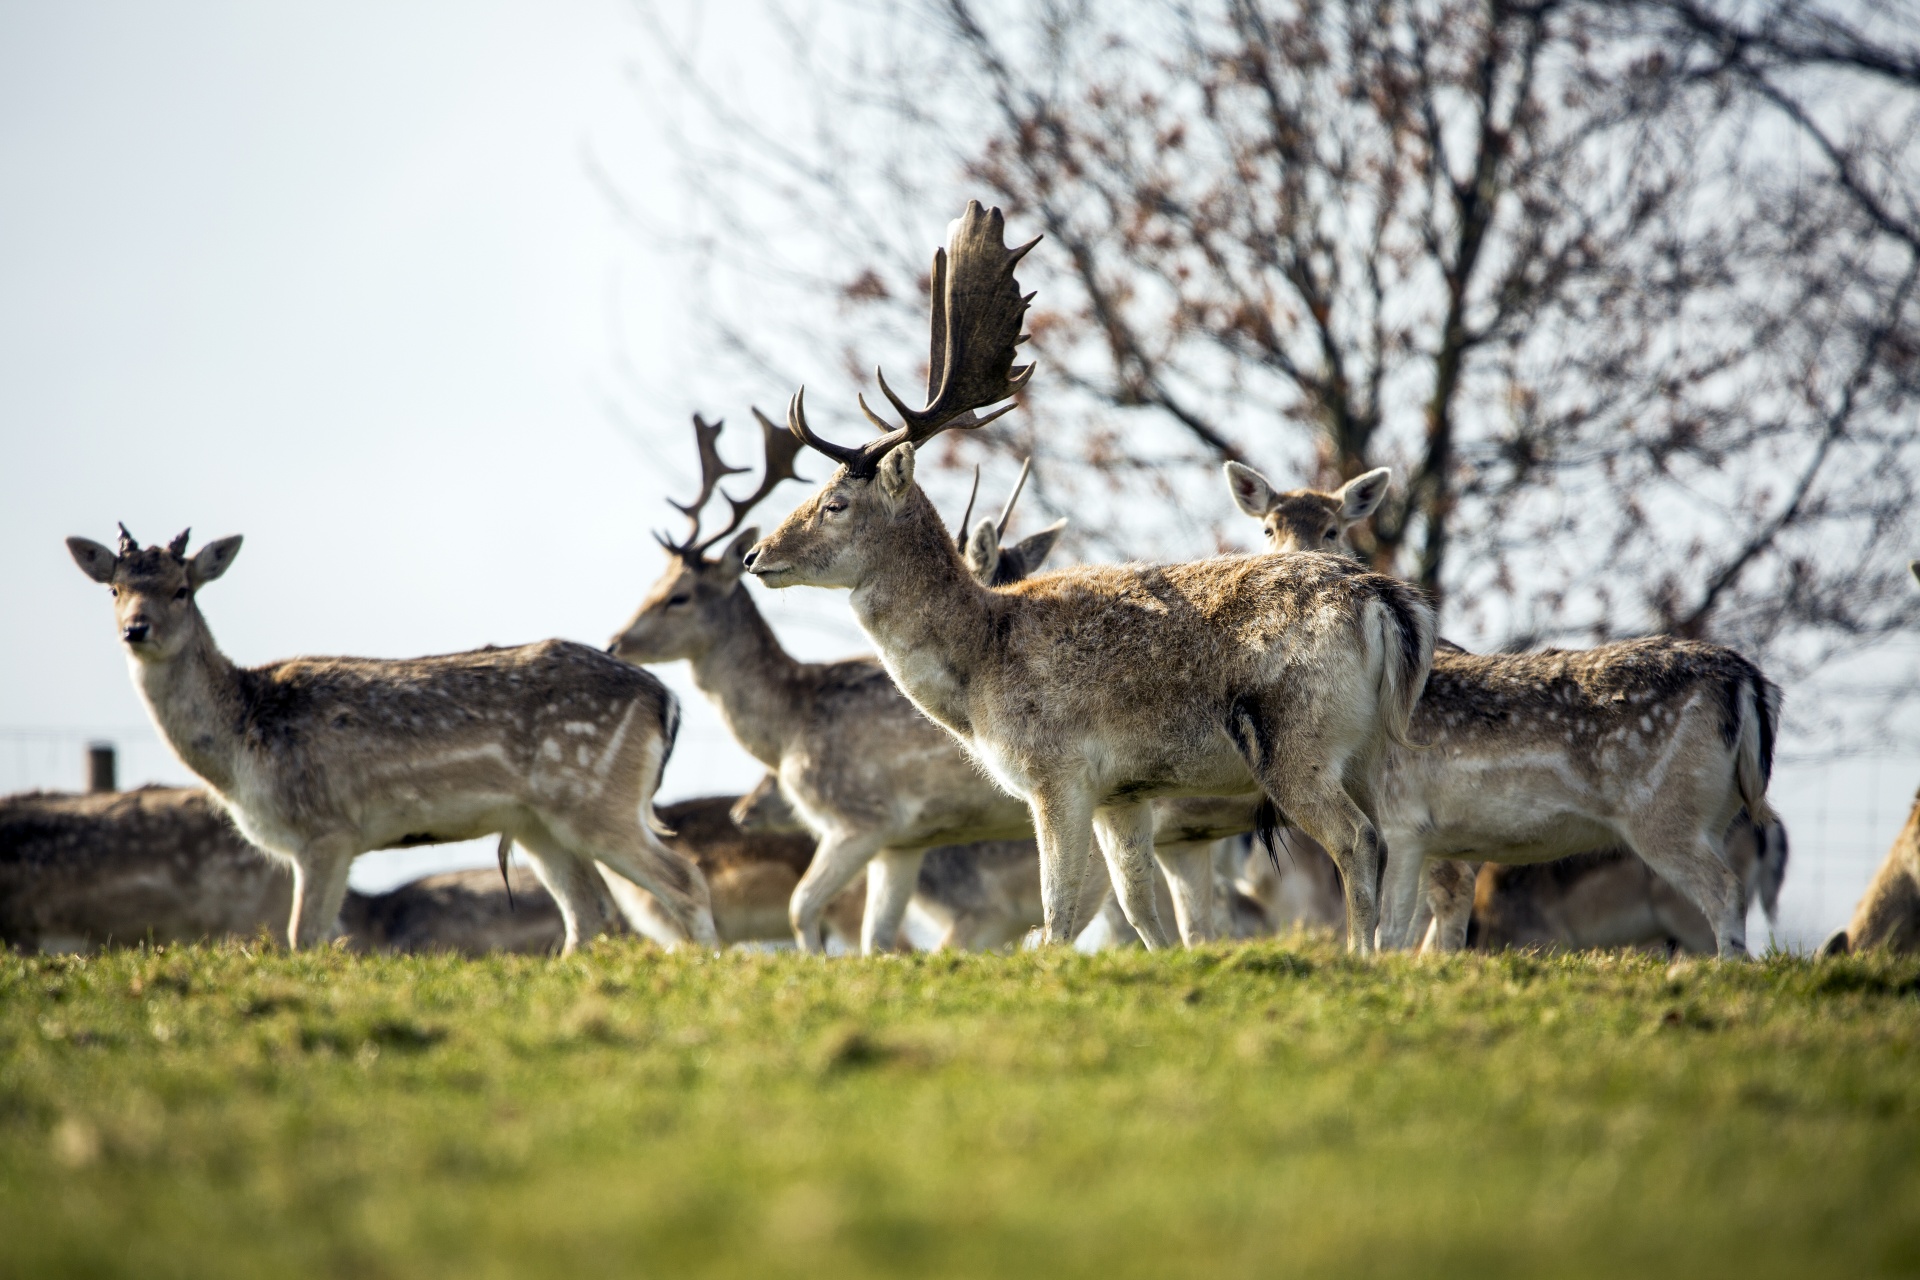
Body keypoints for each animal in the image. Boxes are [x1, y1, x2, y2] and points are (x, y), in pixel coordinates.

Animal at [69, 521, 721, 951]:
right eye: (115, 589)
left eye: (182, 589)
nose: (136, 629)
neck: (242, 744)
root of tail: (666, 702)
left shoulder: (326, 828)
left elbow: (303, 935)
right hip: (541, 824)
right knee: (590, 914)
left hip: (594, 800)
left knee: (685, 881)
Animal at [741, 202, 1436, 951]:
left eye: (836, 503)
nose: (755, 556)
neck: (980, 664)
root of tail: (1384, 600)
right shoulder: (1122, 792)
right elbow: (1138, 910)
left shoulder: (1057, 770)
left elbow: (1058, 914)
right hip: (1373, 747)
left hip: (1297, 740)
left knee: (1358, 841)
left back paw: (1360, 955)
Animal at [1221, 458, 1774, 951]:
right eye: (1268, 528)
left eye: (1332, 529)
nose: (1292, 564)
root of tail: (1746, 683)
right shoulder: (1430, 837)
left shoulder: (1404, 820)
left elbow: (1393, 929)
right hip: (1714, 815)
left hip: (1665, 813)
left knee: (1724, 893)